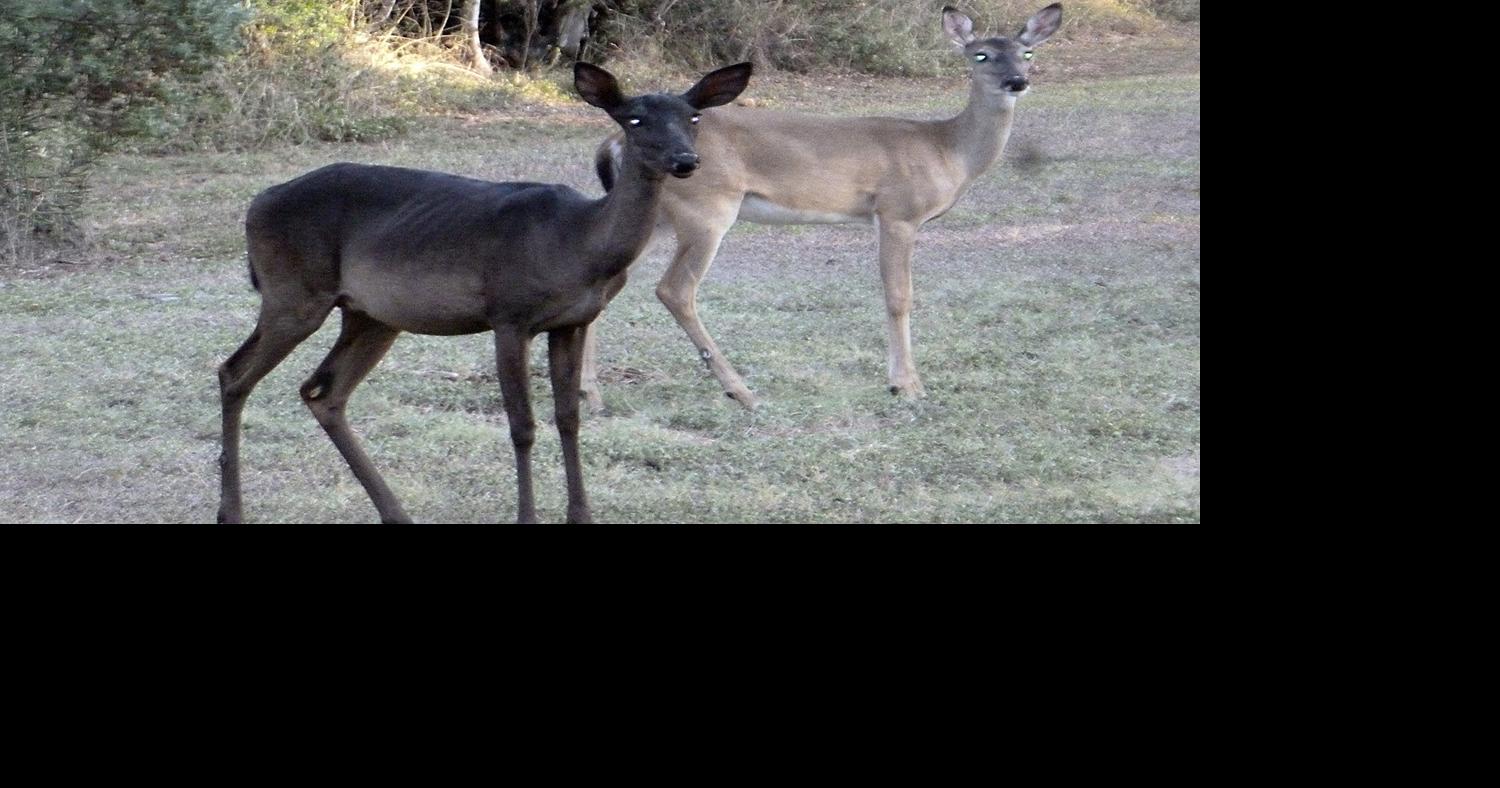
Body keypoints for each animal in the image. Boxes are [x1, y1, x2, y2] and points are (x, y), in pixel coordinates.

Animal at [216, 61, 754, 524]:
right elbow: (522, 425)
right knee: (234, 374)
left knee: (323, 391)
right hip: (294, 291)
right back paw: (232, 511)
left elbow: (569, 418)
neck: (579, 244)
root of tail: (256, 204)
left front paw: (581, 515)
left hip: (371, 315)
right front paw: (527, 516)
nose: (685, 160)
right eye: (635, 119)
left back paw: (395, 512)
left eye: (693, 117)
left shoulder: (573, 321)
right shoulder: (509, 314)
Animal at [584, 4, 1064, 411]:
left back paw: (591, 395)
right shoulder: (898, 211)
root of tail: (615, 141)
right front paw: (906, 386)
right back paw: (741, 391)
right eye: (981, 55)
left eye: (1027, 53)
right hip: (707, 209)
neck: (946, 150)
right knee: (675, 289)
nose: (1017, 81)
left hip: (659, 218)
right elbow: (898, 296)